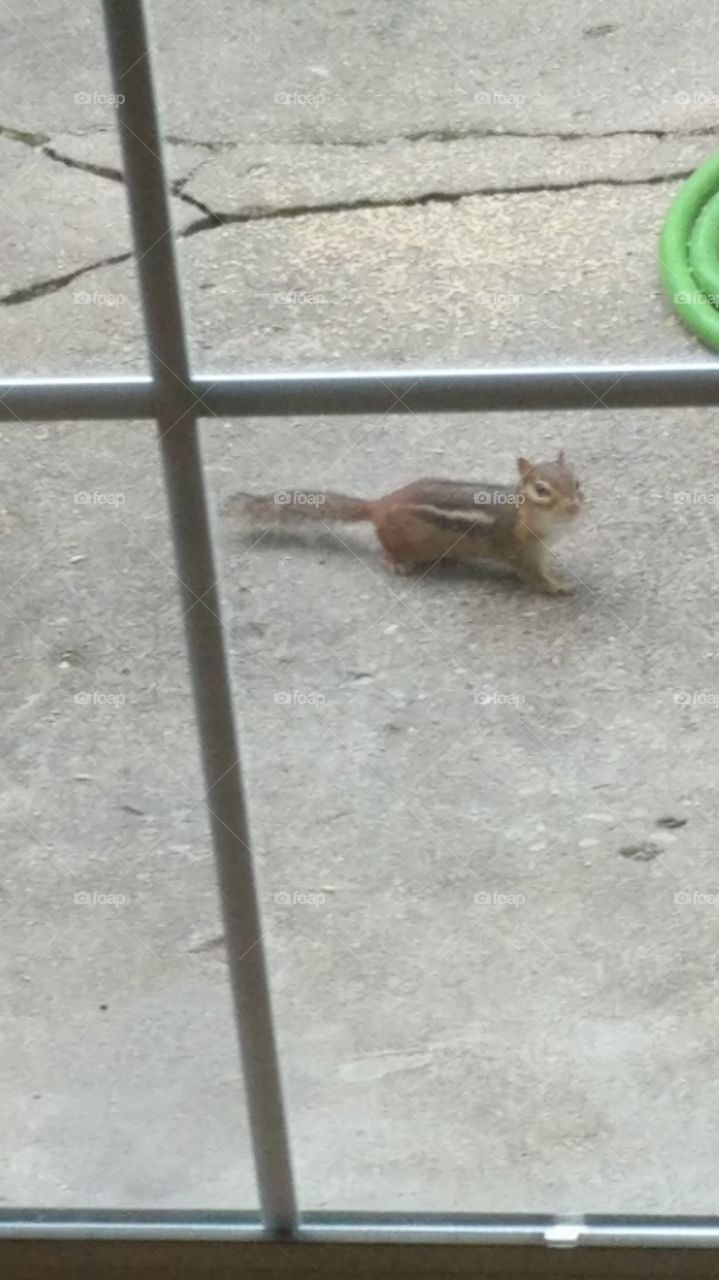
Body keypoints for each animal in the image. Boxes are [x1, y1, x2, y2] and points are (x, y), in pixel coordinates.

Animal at [226, 452, 584, 595]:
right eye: (542, 490)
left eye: (577, 482)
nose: (574, 506)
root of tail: (380, 505)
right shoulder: (518, 551)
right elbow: (532, 576)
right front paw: (556, 587)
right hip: (402, 541)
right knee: (385, 550)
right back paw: (395, 563)